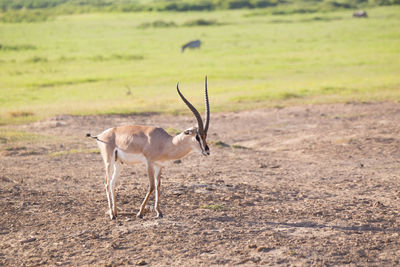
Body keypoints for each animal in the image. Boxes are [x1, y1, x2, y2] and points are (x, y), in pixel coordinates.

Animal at [86, 77, 211, 220]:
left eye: (205, 135)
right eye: (197, 136)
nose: (207, 151)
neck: (165, 142)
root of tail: (100, 135)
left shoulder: (159, 166)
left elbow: (158, 186)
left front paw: (159, 211)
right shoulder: (149, 163)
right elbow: (151, 186)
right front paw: (140, 213)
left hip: (119, 163)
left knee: (112, 183)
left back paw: (116, 212)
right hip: (109, 161)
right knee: (107, 183)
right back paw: (112, 215)